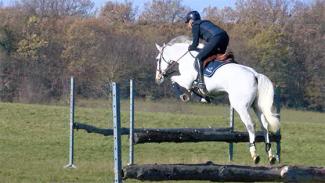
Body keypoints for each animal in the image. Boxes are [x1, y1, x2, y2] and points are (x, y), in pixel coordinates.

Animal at [154, 35, 278, 164]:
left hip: (240, 106)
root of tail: (255, 75)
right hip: (257, 106)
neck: (185, 57)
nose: (158, 78)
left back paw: (254, 154)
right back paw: (270, 155)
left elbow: (173, 79)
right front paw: (199, 96)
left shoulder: (186, 80)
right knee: (264, 126)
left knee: (250, 125)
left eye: (157, 59)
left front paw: (184, 96)